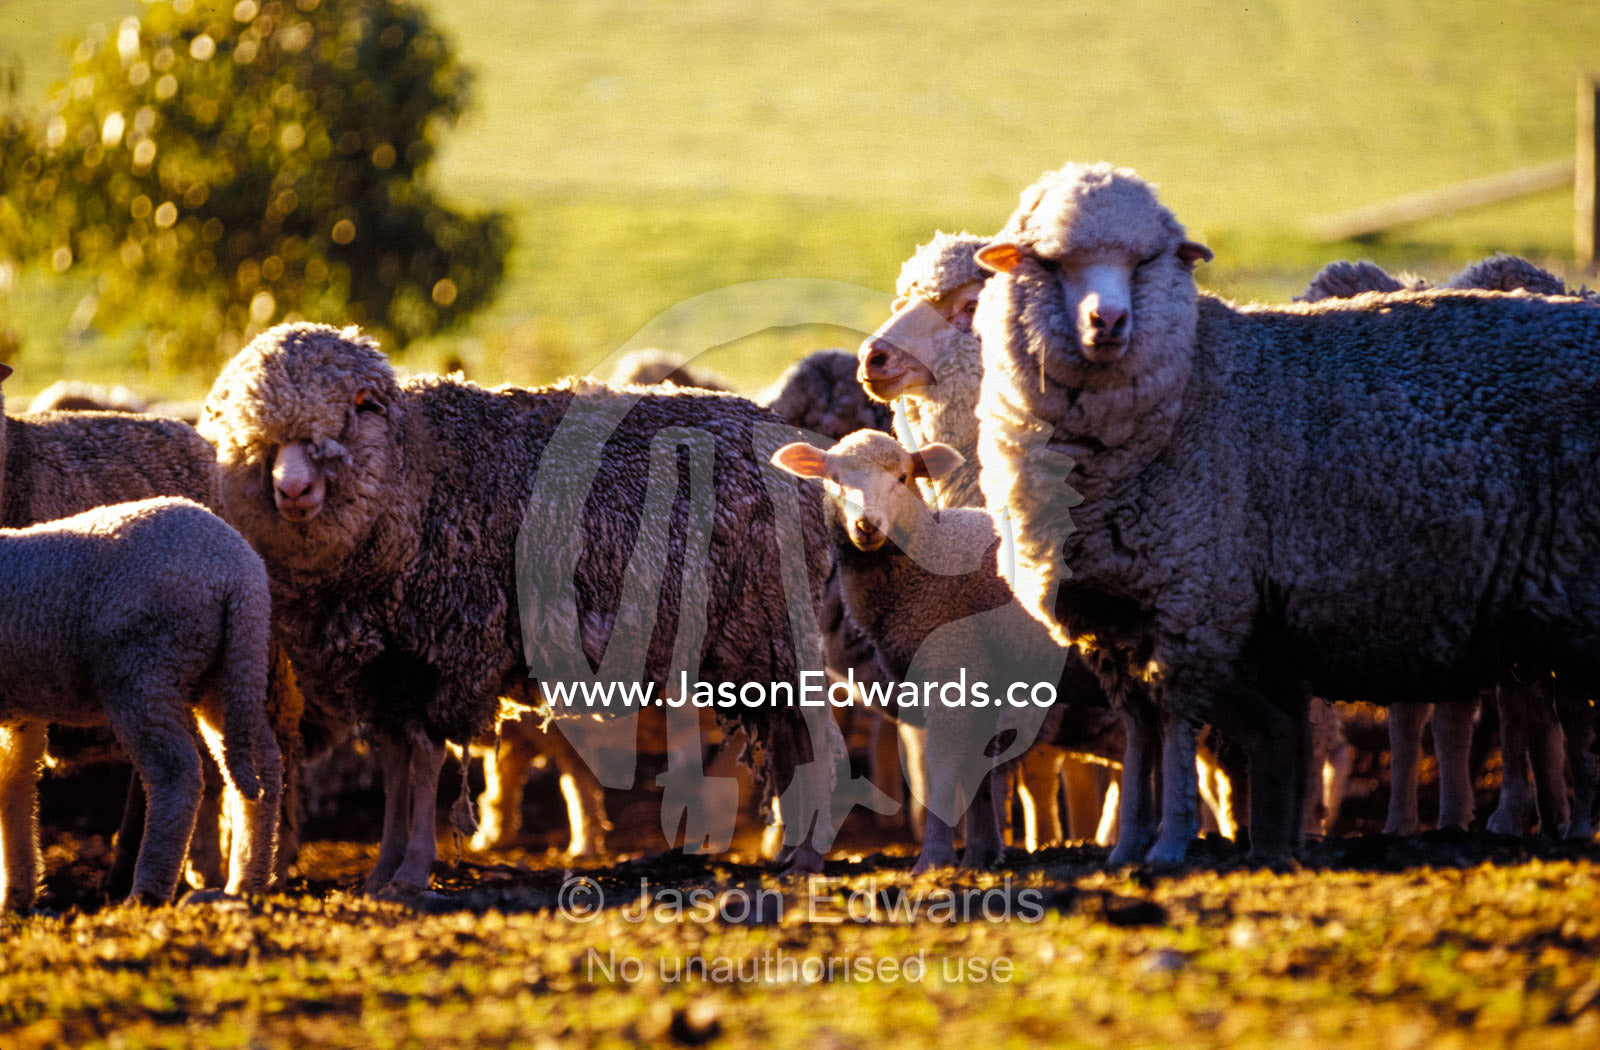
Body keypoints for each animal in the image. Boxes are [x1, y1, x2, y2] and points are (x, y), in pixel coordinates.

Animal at [0, 497, 281, 910]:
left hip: (143, 665)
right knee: (261, 764)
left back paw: (146, 892)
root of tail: (239, 571)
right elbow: (15, 784)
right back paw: (247, 881)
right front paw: (16, 897)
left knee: (176, 774)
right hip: (231, 669)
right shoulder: (21, 710)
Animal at [200, 323, 857, 892]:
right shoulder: (384, 669)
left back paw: (810, 855)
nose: (294, 490)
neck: (417, 478)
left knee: (814, 739)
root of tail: (788, 445)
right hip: (753, 644)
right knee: (791, 741)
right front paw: (382, 870)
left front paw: (412, 871)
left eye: (362, 403)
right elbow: (395, 766)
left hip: (772, 627)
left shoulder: (446, 649)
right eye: (244, 421)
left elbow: (425, 763)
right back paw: (792, 853)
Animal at [771, 430, 1077, 872]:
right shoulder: (979, 674)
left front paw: (933, 858)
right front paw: (981, 854)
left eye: (903, 477)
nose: (867, 525)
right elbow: (977, 769)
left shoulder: (951, 664)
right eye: (834, 478)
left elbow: (942, 768)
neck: (928, 559)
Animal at [974, 161, 1600, 863]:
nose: (1108, 322)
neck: (1189, 390)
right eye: (1051, 262)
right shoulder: (1112, 615)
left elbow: (1176, 725)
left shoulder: (1196, 604)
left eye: (1146, 261)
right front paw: (1128, 845)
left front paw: (1169, 844)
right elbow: (1140, 733)